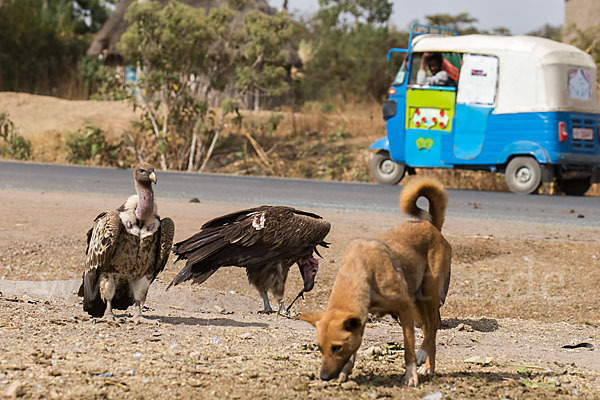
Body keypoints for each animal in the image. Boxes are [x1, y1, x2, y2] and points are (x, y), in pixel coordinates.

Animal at [300, 177, 450, 384]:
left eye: (337, 348)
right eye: (319, 348)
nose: (324, 377)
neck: (361, 271)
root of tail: (431, 226)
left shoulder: (404, 309)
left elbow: (408, 348)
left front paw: (410, 375)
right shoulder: (360, 320)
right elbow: (353, 351)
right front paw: (345, 373)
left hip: (429, 293)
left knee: (434, 325)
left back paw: (423, 356)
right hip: (417, 304)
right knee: (428, 328)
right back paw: (429, 367)